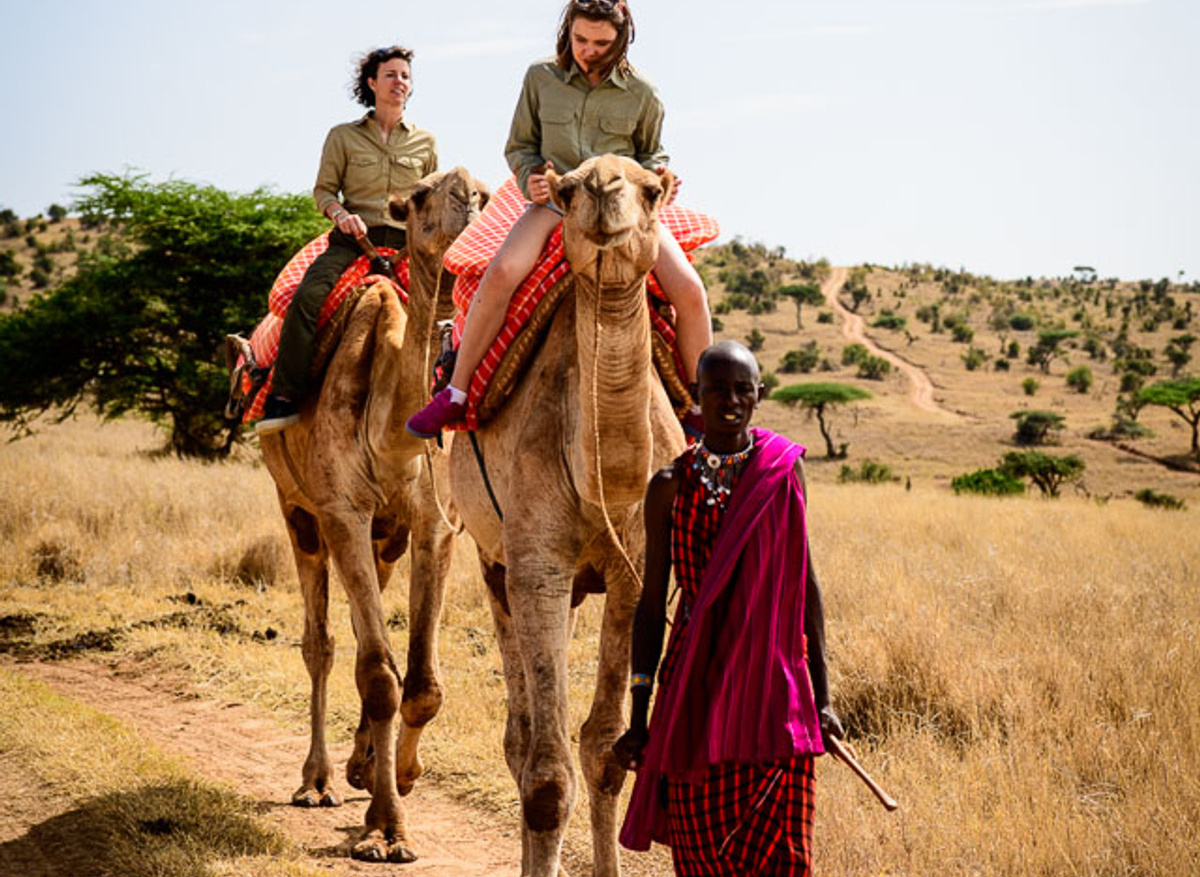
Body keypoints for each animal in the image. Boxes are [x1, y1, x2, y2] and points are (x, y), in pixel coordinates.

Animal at [258, 167, 488, 863]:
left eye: (484, 193)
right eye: (419, 198)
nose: (469, 200)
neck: (391, 432)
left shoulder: (434, 525)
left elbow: (421, 684)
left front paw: (402, 777)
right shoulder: (341, 511)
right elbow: (379, 676)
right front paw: (386, 830)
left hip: (385, 535)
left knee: (367, 631)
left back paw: (359, 767)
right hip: (298, 510)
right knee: (324, 644)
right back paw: (318, 781)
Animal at [448, 155, 686, 877]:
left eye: (650, 189)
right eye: (572, 185)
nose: (606, 188)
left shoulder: (637, 573)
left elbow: (604, 750)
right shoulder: (537, 570)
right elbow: (548, 775)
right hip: (495, 565)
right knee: (520, 736)